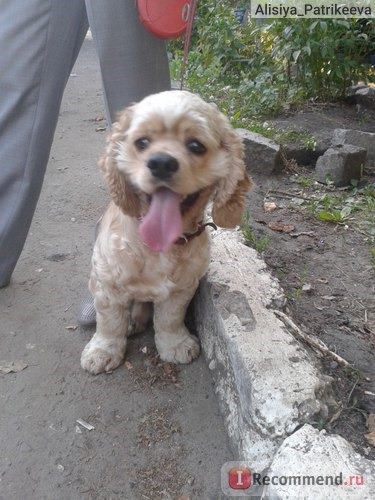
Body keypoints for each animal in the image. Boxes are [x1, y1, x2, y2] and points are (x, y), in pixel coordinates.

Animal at [82, 90, 253, 374]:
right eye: (141, 142)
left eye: (196, 146)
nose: (161, 163)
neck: (160, 247)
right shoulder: (107, 283)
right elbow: (109, 322)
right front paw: (102, 351)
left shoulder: (181, 288)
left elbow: (170, 319)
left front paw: (175, 345)